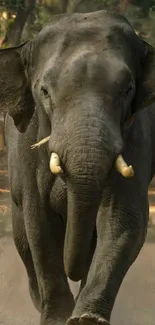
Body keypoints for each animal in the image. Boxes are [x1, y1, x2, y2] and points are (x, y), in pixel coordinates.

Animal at [0, 8, 155, 324]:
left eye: (127, 90)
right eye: (45, 92)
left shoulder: (137, 133)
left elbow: (124, 217)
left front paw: (85, 319)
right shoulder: (26, 144)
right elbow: (40, 222)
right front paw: (57, 318)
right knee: (25, 239)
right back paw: (39, 300)